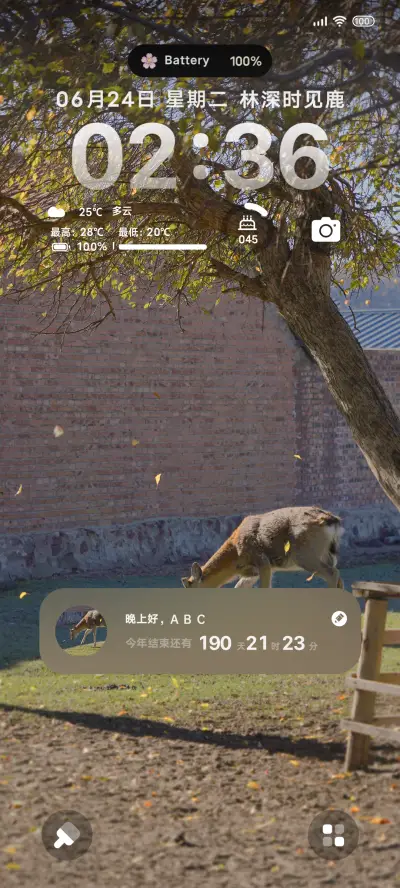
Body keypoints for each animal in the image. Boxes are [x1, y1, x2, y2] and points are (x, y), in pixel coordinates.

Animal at [181, 506, 344, 590]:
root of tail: (334, 522)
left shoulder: (263, 562)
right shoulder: (252, 573)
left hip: (304, 554)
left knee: (333, 573)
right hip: (328, 555)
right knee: (338, 577)